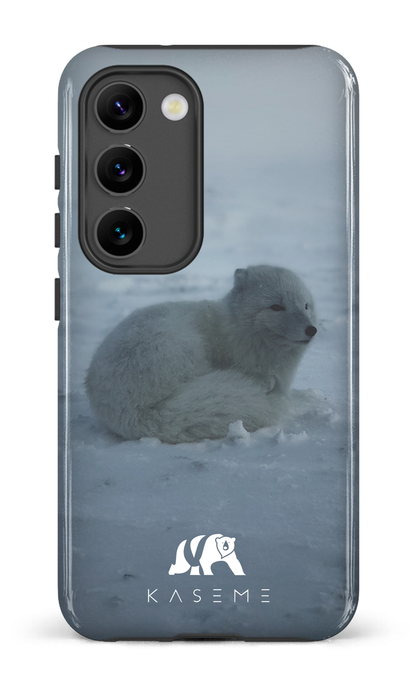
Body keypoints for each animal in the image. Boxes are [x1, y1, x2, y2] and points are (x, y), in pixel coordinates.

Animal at [86, 265, 317, 443]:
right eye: (276, 307)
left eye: (305, 305)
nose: (311, 330)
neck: (235, 330)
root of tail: (133, 412)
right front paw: (264, 381)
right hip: (179, 344)